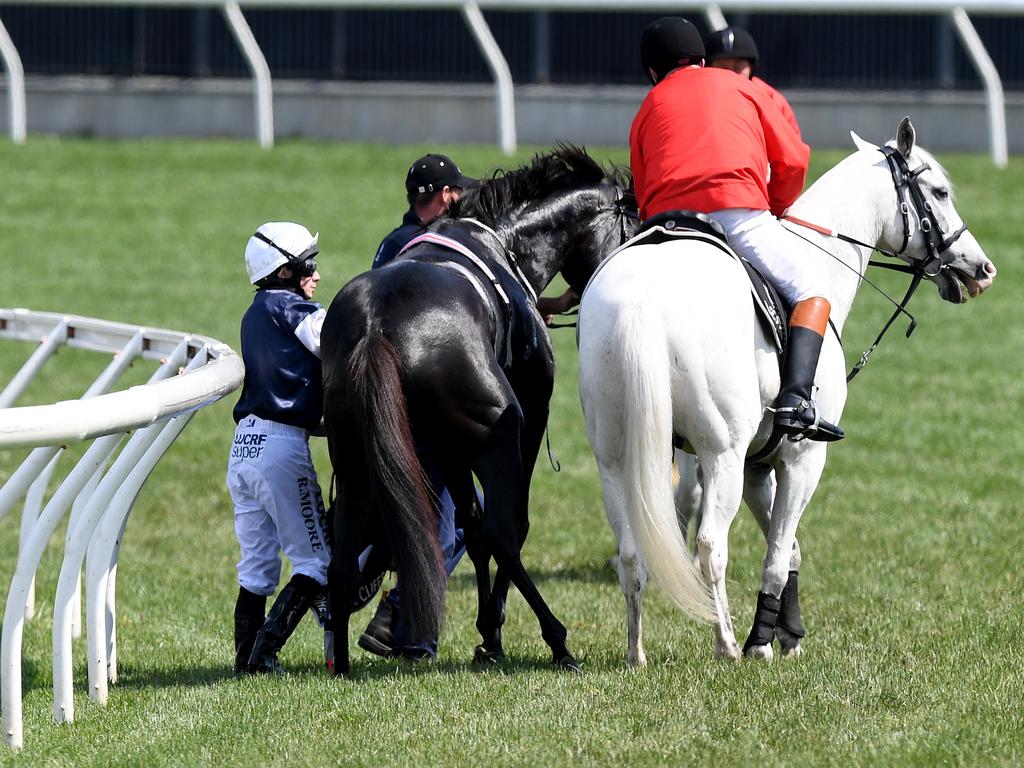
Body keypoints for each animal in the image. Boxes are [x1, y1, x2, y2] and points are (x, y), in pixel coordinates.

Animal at [323, 144, 634, 671]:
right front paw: (492, 632)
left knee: (345, 553)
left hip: (353, 458)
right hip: (496, 437)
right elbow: (505, 526)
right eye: (633, 227)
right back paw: (556, 640)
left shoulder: (447, 445)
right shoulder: (527, 418)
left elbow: (469, 524)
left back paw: (341, 663)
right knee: (503, 532)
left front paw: (489, 629)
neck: (502, 240)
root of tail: (374, 325)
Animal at [581, 117, 995, 663]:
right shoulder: (801, 459)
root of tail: (641, 297)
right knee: (710, 546)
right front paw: (762, 642)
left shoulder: (758, 464)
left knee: (632, 551)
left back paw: (636, 653)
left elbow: (788, 548)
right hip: (719, 454)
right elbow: (778, 555)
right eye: (941, 192)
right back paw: (727, 644)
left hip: (615, 457)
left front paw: (788, 632)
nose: (982, 268)